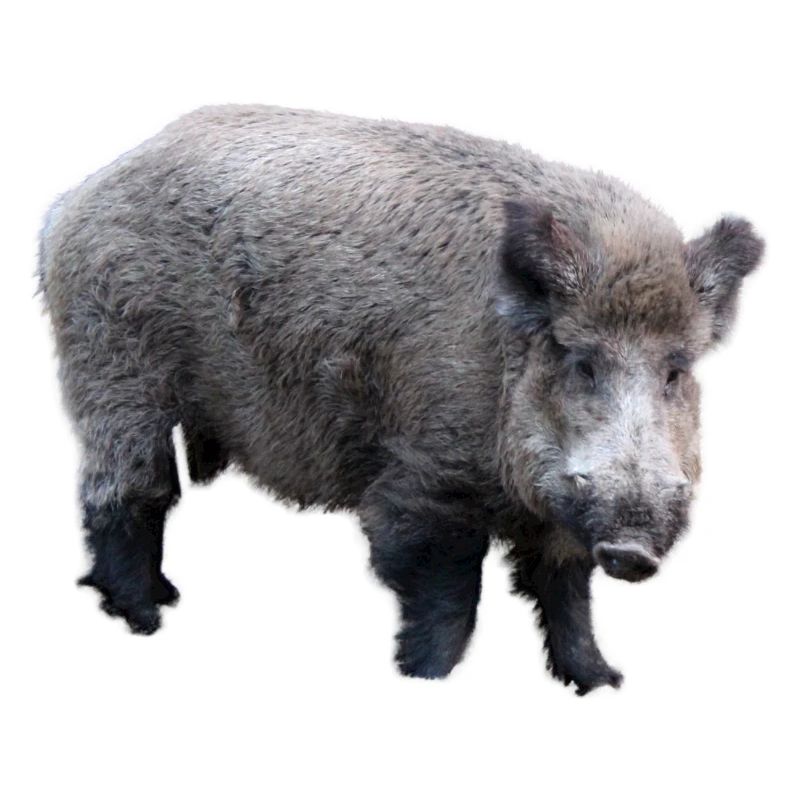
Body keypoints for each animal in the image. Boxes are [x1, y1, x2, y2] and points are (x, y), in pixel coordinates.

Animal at [38, 105, 763, 693]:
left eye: (675, 370)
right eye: (580, 361)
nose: (633, 550)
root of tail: (69, 204)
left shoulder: (558, 516)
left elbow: (566, 593)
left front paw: (601, 682)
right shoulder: (423, 477)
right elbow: (448, 598)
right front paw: (425, 678)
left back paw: (164, 598)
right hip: (114, 370)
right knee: (128, 490)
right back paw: (147, 617)